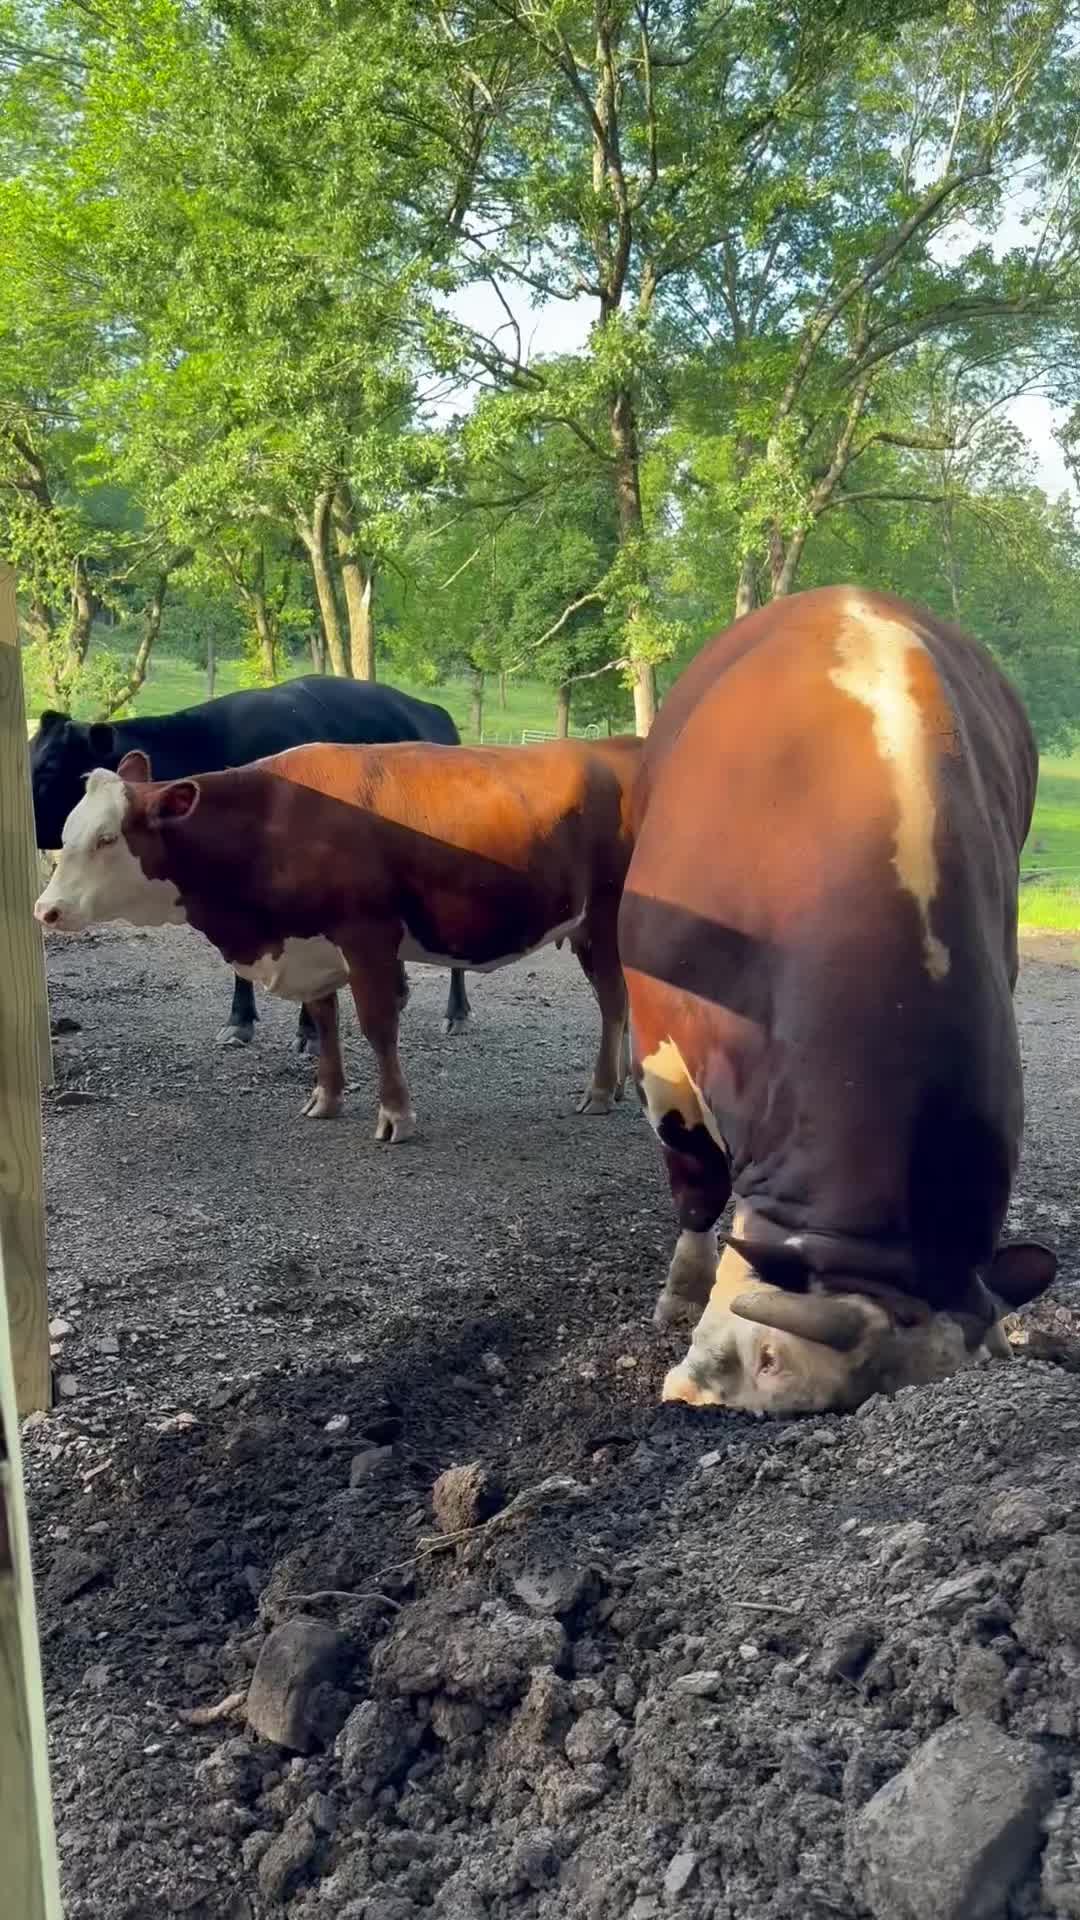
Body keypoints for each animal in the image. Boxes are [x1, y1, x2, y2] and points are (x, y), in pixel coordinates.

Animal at [35, 735, 640, 1136]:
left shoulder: (366, 935)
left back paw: (601, 1090)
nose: (47, 909)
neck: (273, 824)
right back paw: (620, 1081)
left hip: (608, 918)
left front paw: (395, 1114)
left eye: (107, 839)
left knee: (614, 1001)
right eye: (67, 832)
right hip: (588, 928)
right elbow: (325, 1021)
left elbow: (377, 1024)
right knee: (619, 1001)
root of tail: (622, 745)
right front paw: (325, 1098)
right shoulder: (313, 945)